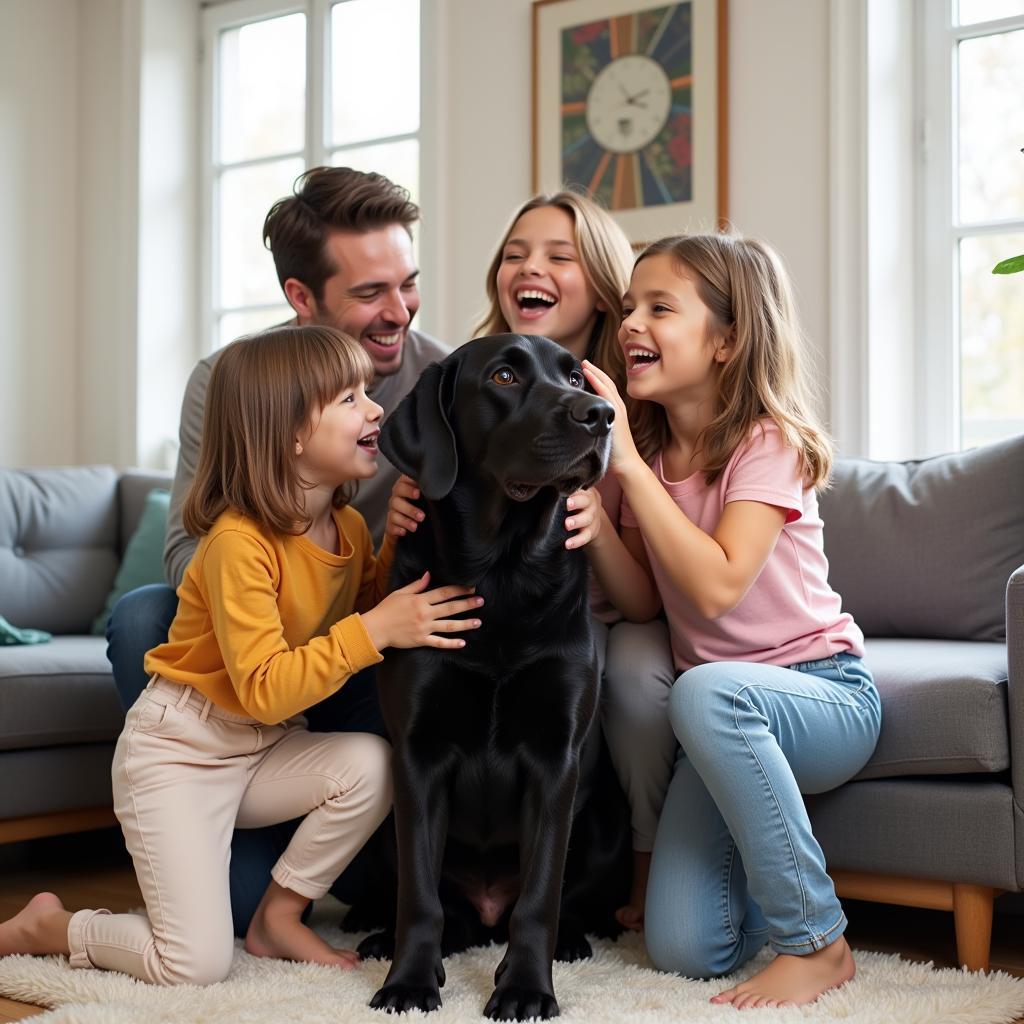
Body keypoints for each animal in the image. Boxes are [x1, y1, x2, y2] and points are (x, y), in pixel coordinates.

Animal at [364, 333, 626, 1015]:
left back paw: (569, 943)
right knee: (441, 907)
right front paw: (408, 981)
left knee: (553, 906)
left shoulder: (555, 757)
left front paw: (527, 989)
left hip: (605, 818)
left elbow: (539, 899)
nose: (599, 415)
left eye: (574, 376)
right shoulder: (417, 754)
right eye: (504, 376)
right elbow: (419, 896)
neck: (502, 574)